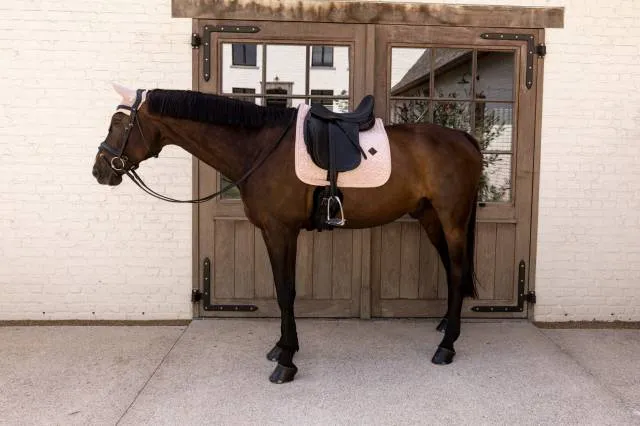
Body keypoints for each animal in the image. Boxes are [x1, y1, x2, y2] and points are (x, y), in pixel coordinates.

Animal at [92, 84, 483, 384]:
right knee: (450, 270)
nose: (100, 170)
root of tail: (464, 138)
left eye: (119, 123)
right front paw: (281, 347)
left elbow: (286, 292)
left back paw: (447, 347)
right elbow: (282, 290)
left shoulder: (283, 231)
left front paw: (286, 362)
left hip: (452, 220)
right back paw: (444, 327)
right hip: (430, 217)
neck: (259, 148)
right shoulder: (270, 232)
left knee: (457, 271)